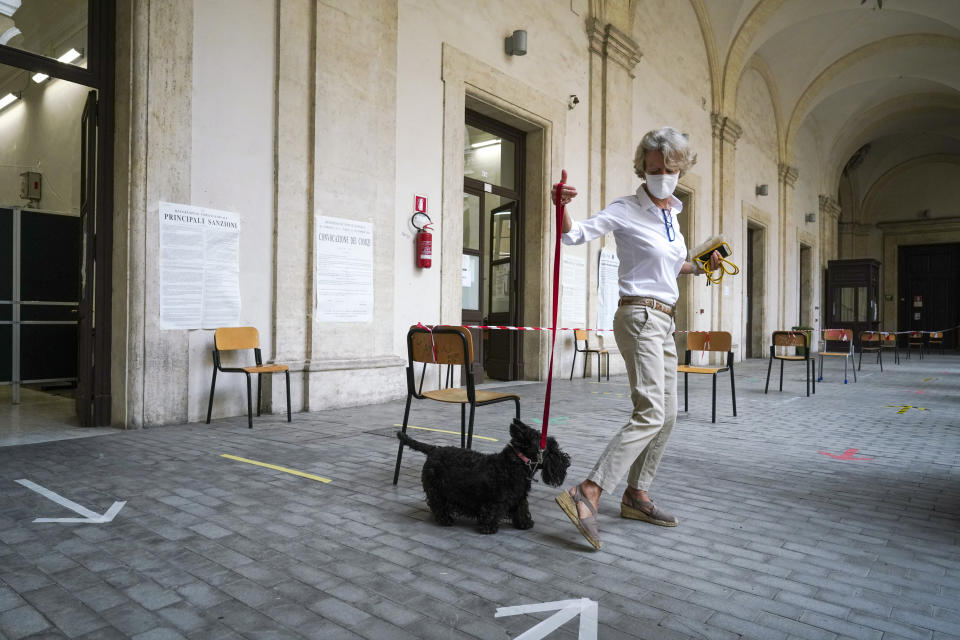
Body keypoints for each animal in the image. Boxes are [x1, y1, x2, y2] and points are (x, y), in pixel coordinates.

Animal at [396, 418, 568, 532]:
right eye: (552, 448)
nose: (567, 462)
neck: (516, 463)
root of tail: (433, 450)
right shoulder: (495, 500)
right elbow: (492, 512)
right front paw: (489, 527)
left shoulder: (519, 497)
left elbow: (521, 509)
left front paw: (525, 523)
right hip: (438, 490)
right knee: (438, 505)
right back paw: (446, 520)